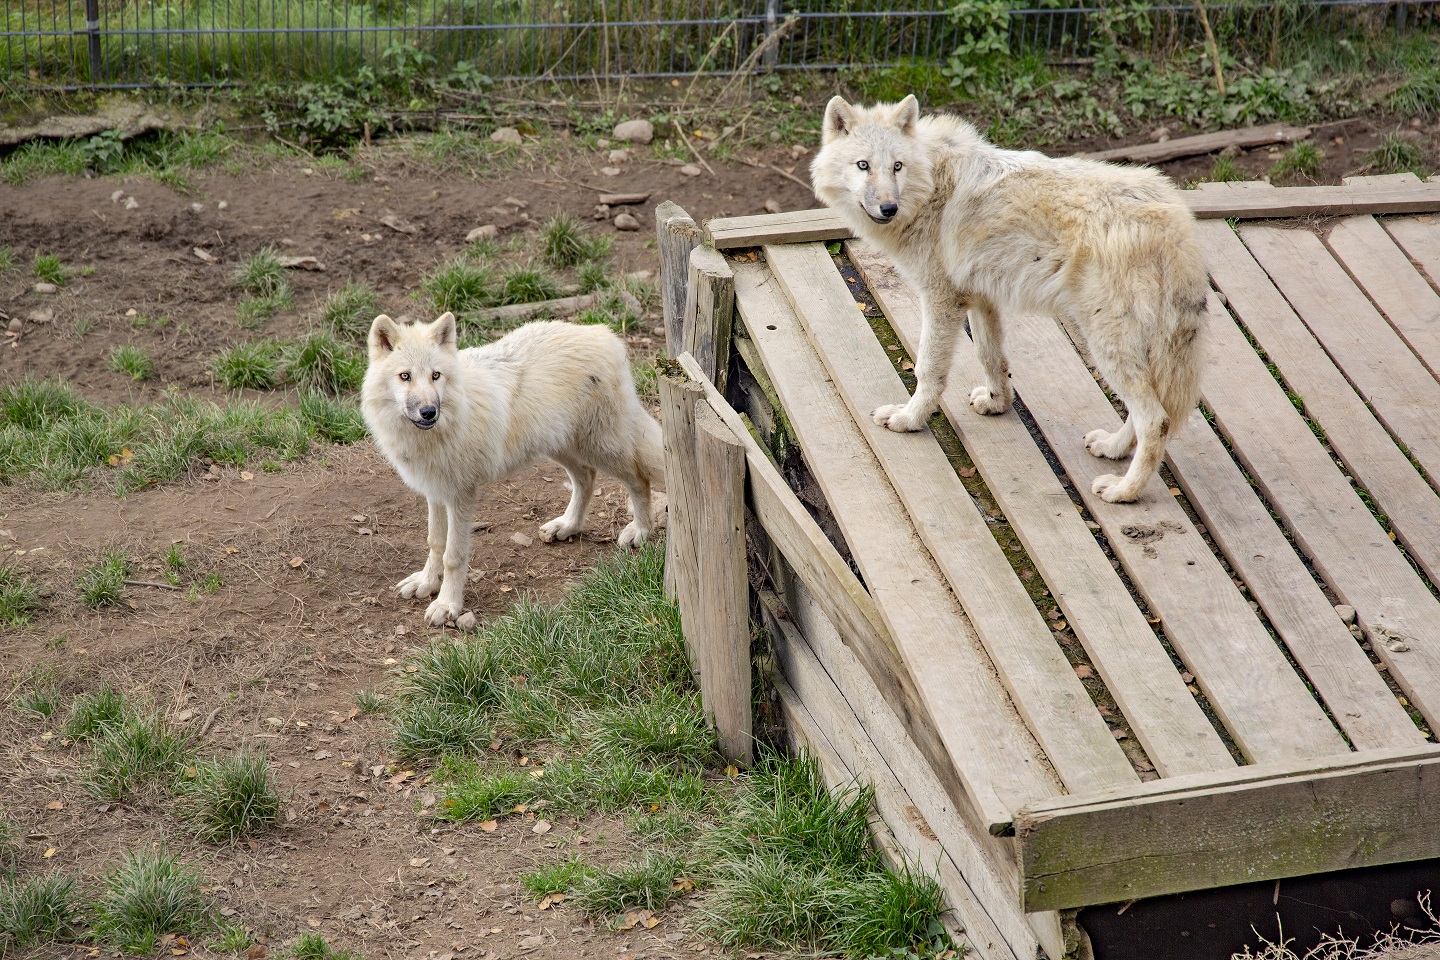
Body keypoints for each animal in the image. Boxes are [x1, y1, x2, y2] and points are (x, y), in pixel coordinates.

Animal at [360, 313, 662, 630]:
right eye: (405, 376)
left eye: (436, 375)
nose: (429, 411)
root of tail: (601, 332)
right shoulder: (435, 490)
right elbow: (435, 542)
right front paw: (427, 583)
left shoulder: (460, 495)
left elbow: (453, 555)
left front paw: (447, 605)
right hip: (560, 446)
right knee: (586, 479)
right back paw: (567, 526)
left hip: (602, 447)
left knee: (639, 478)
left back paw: (640, 530)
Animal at [817, 93, 1209, 506]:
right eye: (863, 165)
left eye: (897, 166)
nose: (888, 208)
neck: (933, 186)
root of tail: (1178, 227)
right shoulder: (979, 297)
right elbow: (991, 357)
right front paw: (997, 403)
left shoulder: (940, 300)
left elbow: (928, 370)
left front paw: (908, 419)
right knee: (1150, 412)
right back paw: (1112, 448)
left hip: (1108, 344)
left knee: (1157, 420)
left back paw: (1124, 491)